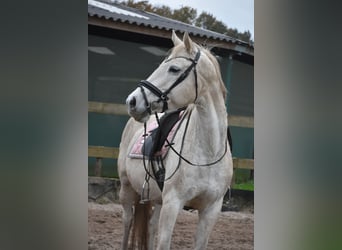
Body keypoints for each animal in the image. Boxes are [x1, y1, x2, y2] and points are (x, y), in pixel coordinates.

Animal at [117, 30, 232, 249]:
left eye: (174, 69)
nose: (132, 101)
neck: (208, 152)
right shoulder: (172, 204)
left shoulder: (210, 210)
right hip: (127, 188)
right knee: (127, 222)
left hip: (157, 200)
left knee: (150, 227)